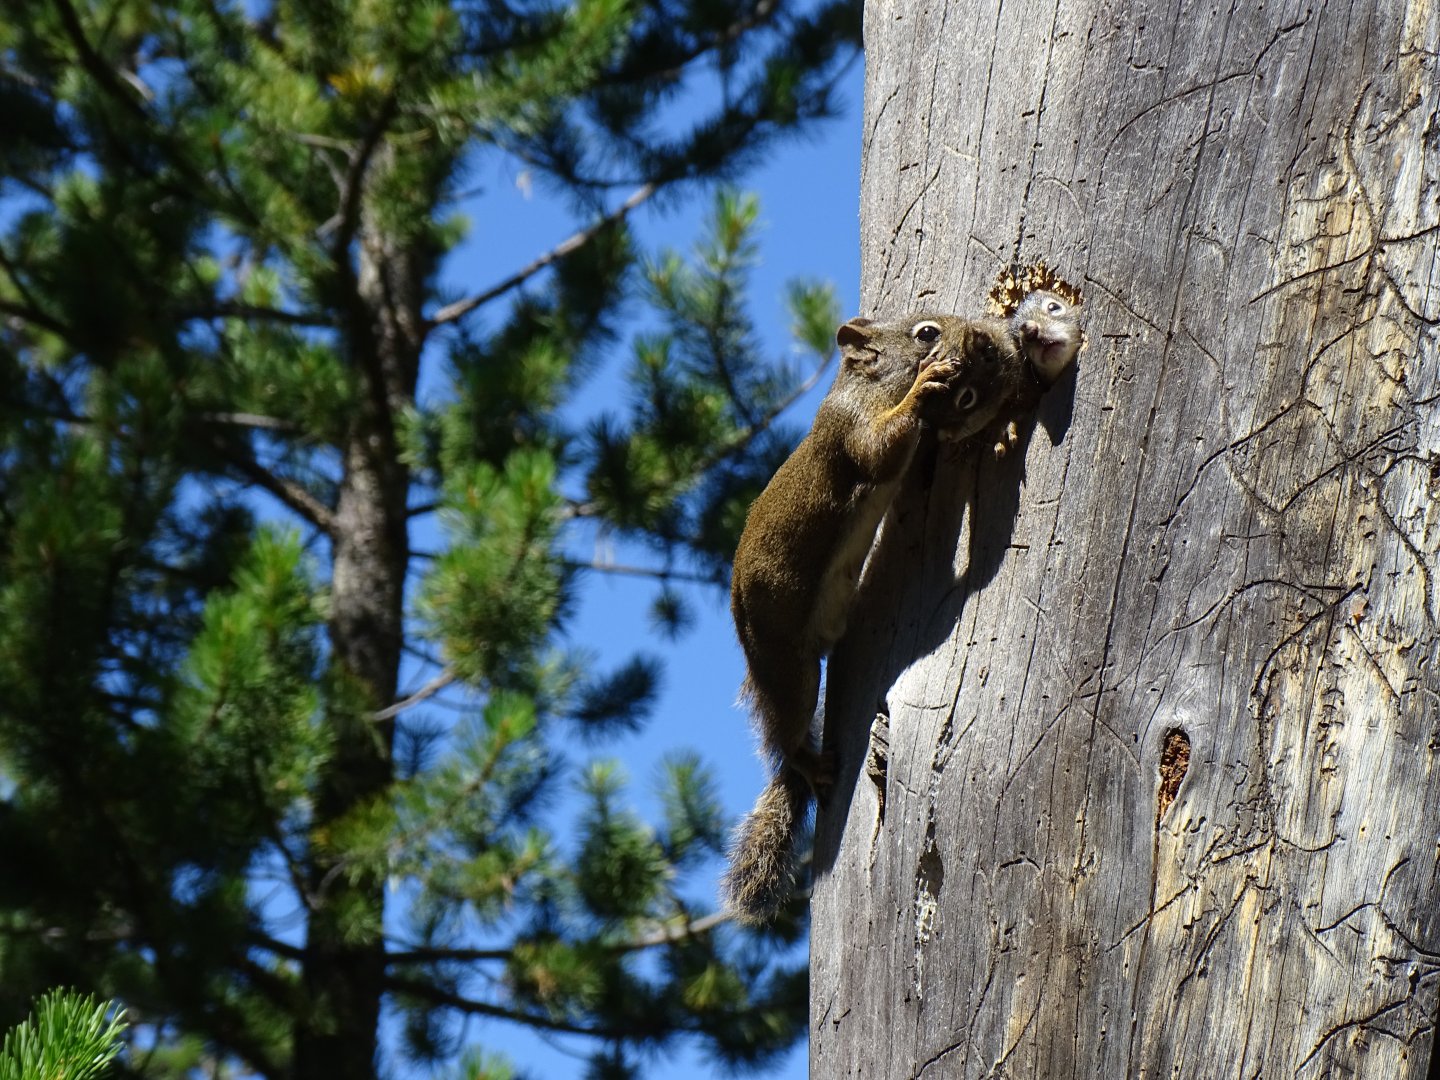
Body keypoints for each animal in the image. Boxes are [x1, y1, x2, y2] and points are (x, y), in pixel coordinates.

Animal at [721, 292, 1083, 924]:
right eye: (926, 333)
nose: (989, 337)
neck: (864, 386)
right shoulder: (852, 432)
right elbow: (879, 450)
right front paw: (925, 390)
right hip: (784, 661)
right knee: (787, 730)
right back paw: (811, 763)